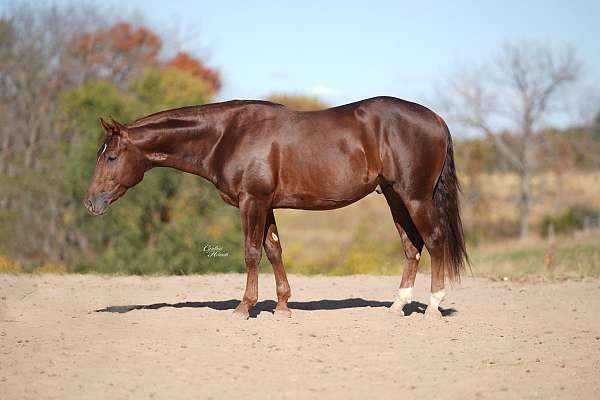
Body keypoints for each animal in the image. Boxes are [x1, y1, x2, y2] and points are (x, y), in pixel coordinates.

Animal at [84, 96, 468, 318]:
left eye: (112, 156)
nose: (91, 202)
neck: (228, 135)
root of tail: (436, 119)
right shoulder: (265, 204)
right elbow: (274, 250)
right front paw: (283, 306)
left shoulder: (251, 202)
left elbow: (252, 252)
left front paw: (244, 306)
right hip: (393, 196)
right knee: (412, 246)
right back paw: (398, 305)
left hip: (414, 196)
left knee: (434, 241)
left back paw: (433, 306)